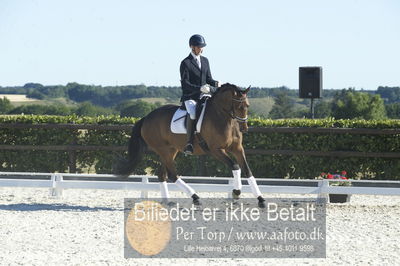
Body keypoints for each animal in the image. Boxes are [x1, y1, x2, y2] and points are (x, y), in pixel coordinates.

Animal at [115, 83, 266, 208]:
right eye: (239, 107)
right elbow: (235, 166)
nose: (244, 128)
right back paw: (195, 197)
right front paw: (236, 192)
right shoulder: (216, 150)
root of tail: (146, 118)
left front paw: (260, 199)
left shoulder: (237, 148)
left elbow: (247, 170)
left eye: (247, 106)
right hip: (164, 150)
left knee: (162, 174)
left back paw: (167, 201)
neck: (223, 117)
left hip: (171, 150)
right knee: (172, 175)